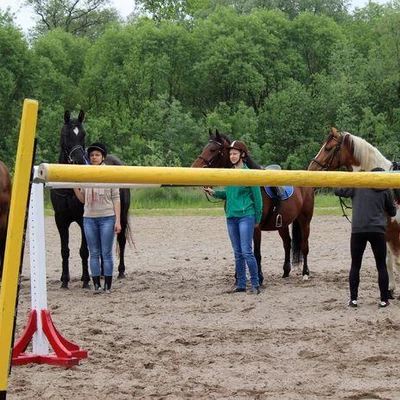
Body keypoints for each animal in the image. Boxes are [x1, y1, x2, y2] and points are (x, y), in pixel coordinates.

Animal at [50, 111, 132, 290]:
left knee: (121, 240)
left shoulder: (83, 220)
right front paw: (65, 280)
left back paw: (120, 271)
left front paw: (87, 280)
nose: (79, 160)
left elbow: (84, 251)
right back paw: (100, 272)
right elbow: (65, 250)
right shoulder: (60, 220)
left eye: (83, 134)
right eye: (66, 133)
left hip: (121, 214)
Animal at [191, 130, 316, 282]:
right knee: (287, 243)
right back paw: (286, 272)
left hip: (305, 221)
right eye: (205, 148)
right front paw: (238, 276)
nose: (194, 168)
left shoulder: (255, 227)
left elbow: (256, 253)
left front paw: (259, 277)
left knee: (304, 246)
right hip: (283, 224)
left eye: (213, 150)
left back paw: (305, 273)